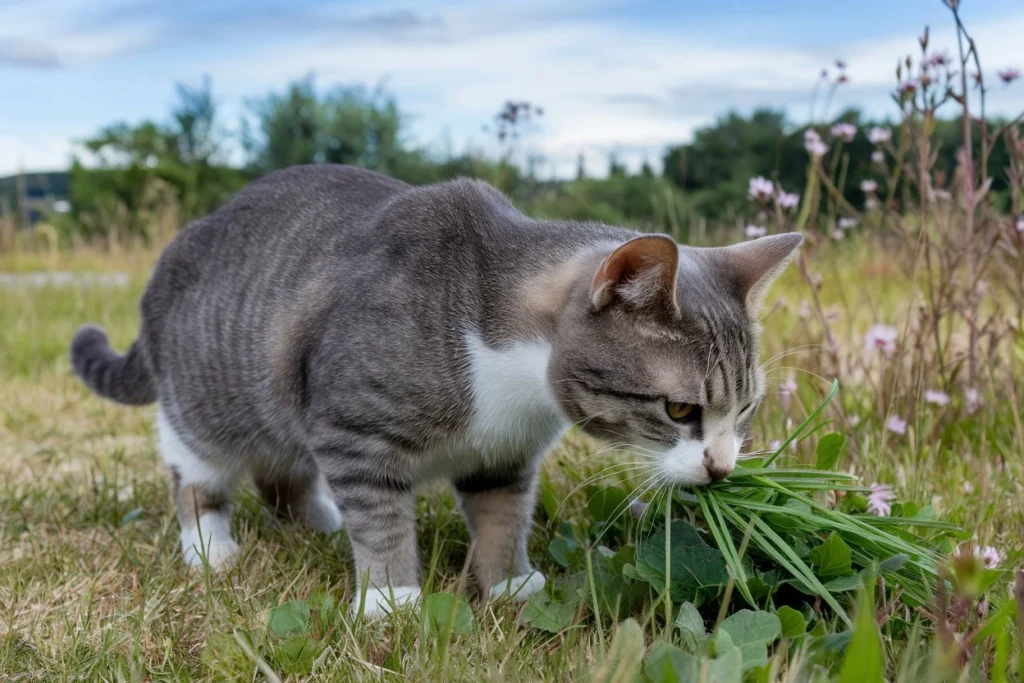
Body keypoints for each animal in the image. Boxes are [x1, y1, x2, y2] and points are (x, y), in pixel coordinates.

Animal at [72, 163, 802, 618]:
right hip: (208, 404)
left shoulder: (504, 456)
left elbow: (503, 514)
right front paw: (390, 600)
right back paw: (212, 546)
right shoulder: (350, 424)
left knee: (282, 472)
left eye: (745, 409)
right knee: (197, 471)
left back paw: (316, 521)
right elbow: (380, 513)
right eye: (680, 409)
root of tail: (171, 254)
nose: (722, 468)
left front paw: (509, 581)